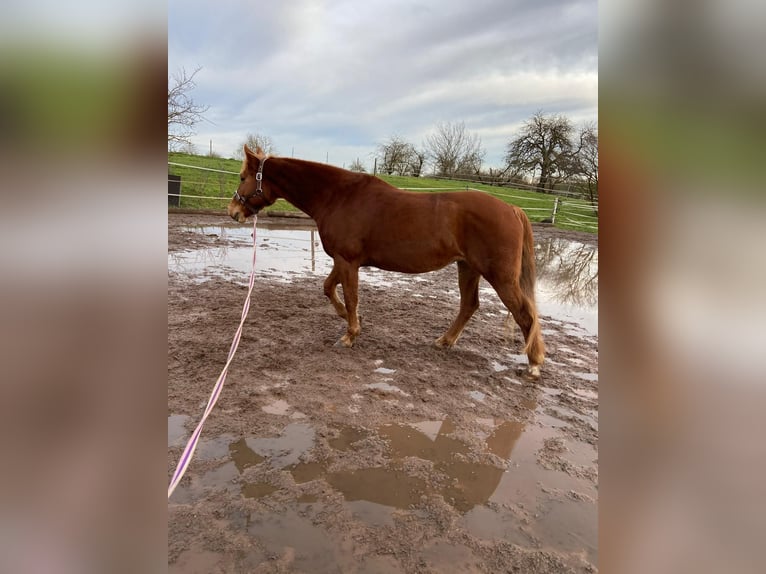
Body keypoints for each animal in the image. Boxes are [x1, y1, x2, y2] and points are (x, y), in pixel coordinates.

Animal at [228, 145, 544, 378]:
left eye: (243, 177)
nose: (233, 211)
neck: (339, 197)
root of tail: (512, 208)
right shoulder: (343, 261)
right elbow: (328, 288)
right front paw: (347, 319)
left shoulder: (348, 261)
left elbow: (350, 296)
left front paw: (350, 335)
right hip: (468, 267)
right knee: (469, 306)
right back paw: (445, 341)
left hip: (499, 276)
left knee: (524, 314)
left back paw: (534, 363)